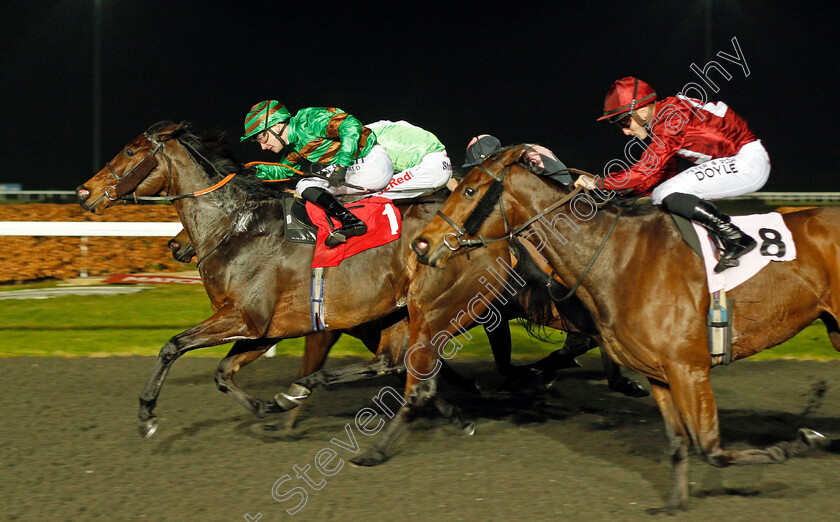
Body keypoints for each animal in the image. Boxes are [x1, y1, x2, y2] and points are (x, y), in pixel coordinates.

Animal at [406, 144, 832, 510]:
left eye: (470, 190)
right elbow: (680, 442)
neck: (620, 254)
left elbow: (711, 448)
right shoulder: (660, 371)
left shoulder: (688, 368)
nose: (422, 245)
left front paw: (798, 442)